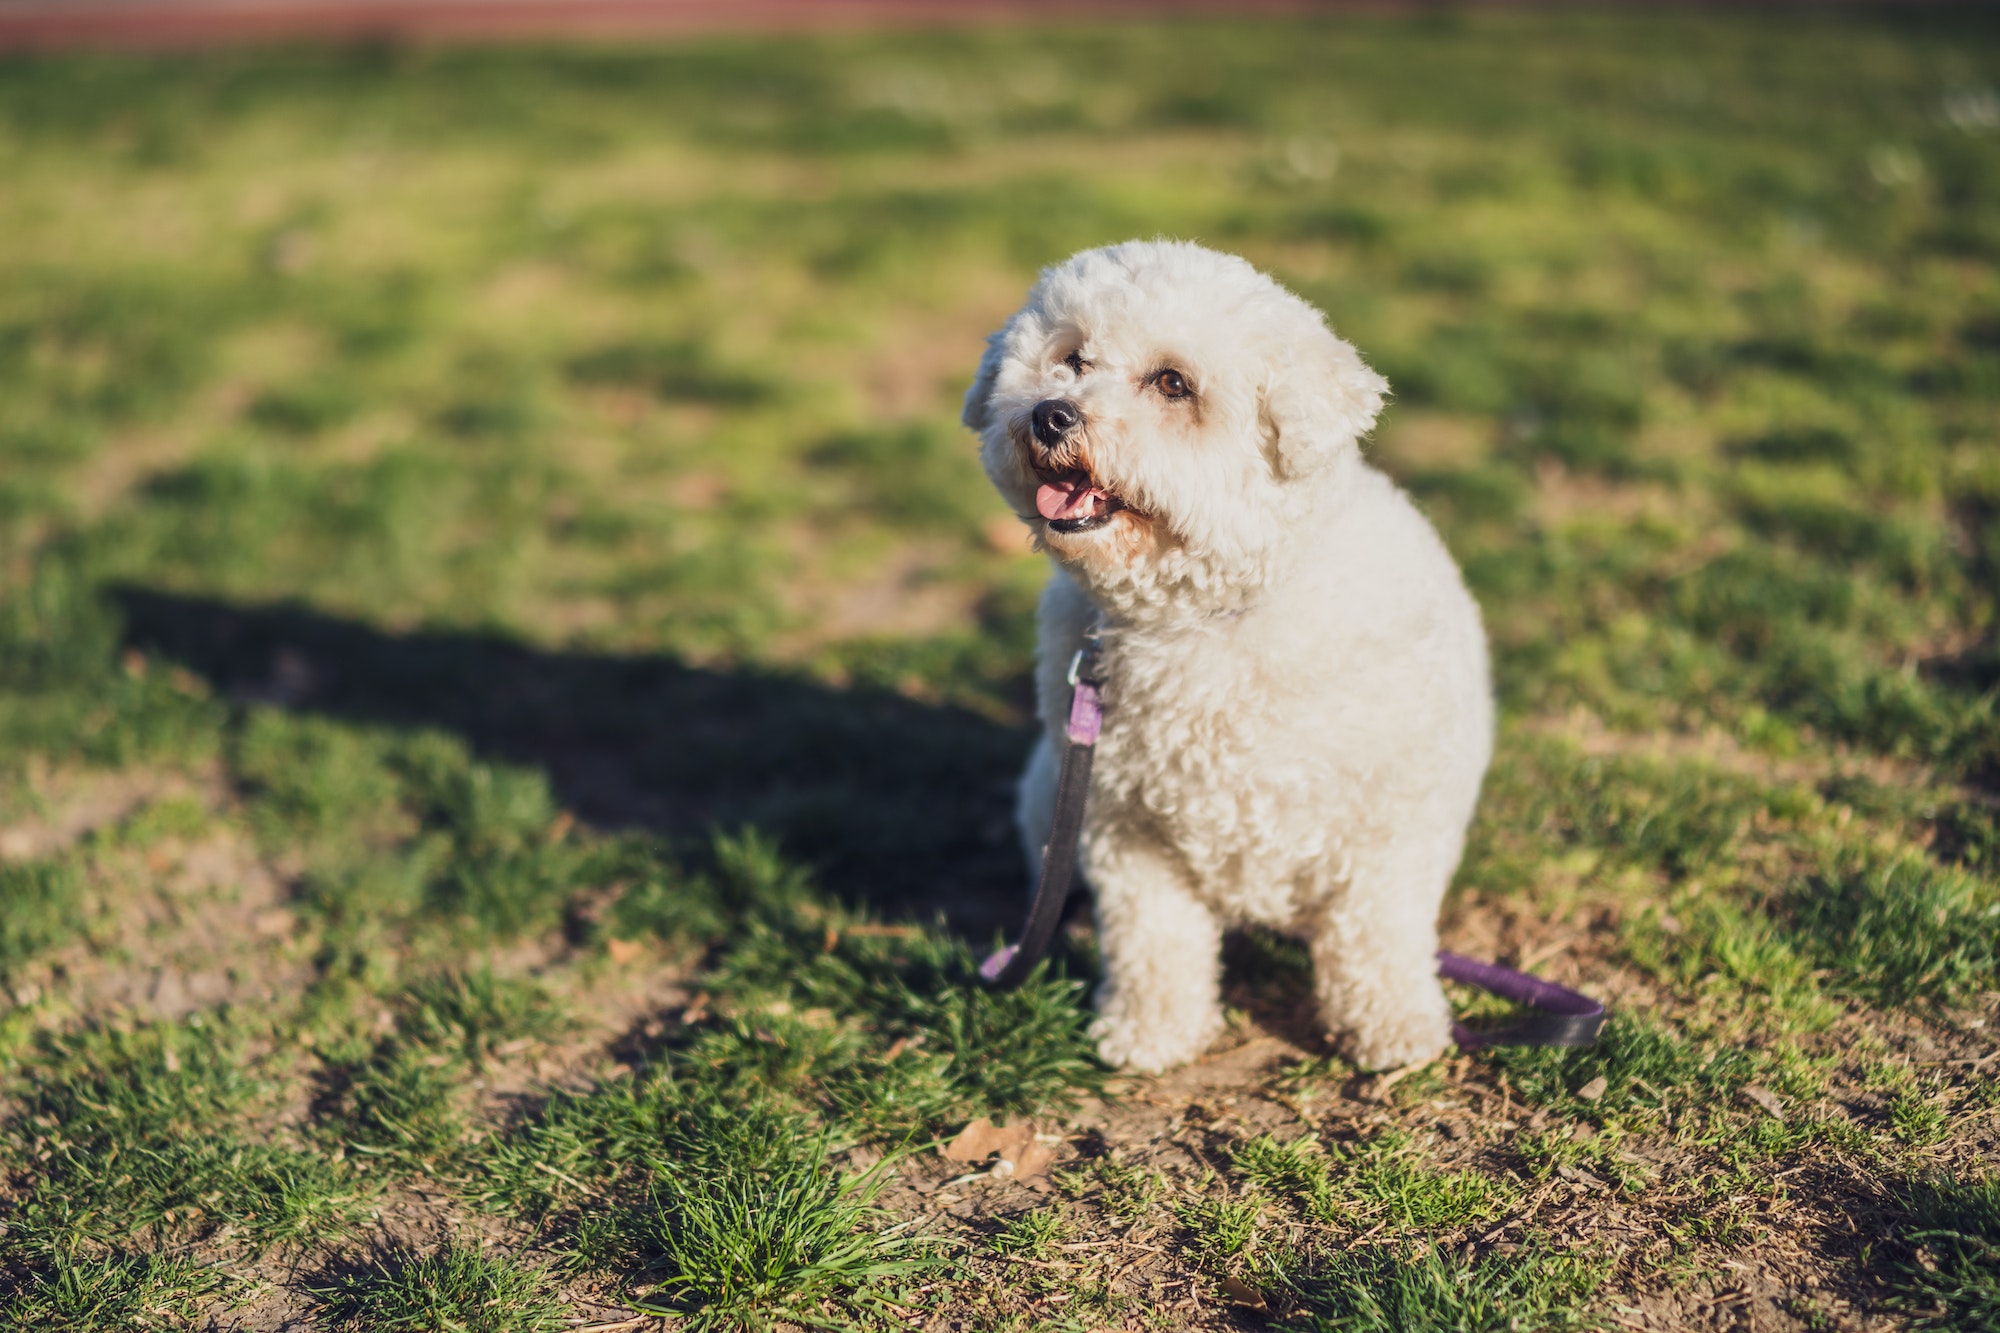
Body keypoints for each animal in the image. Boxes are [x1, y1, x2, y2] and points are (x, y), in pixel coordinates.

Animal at [960, 239, 1496, 1072]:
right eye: (1071, 358)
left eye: (1172, 383)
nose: (1050, 413)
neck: (1203, 621)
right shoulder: (1122, 828)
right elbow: (1154, 941)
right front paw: (1150, 1031)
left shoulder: (1391, 827)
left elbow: (1379, 934)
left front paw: (1395, 1026)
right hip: (1049, 794)